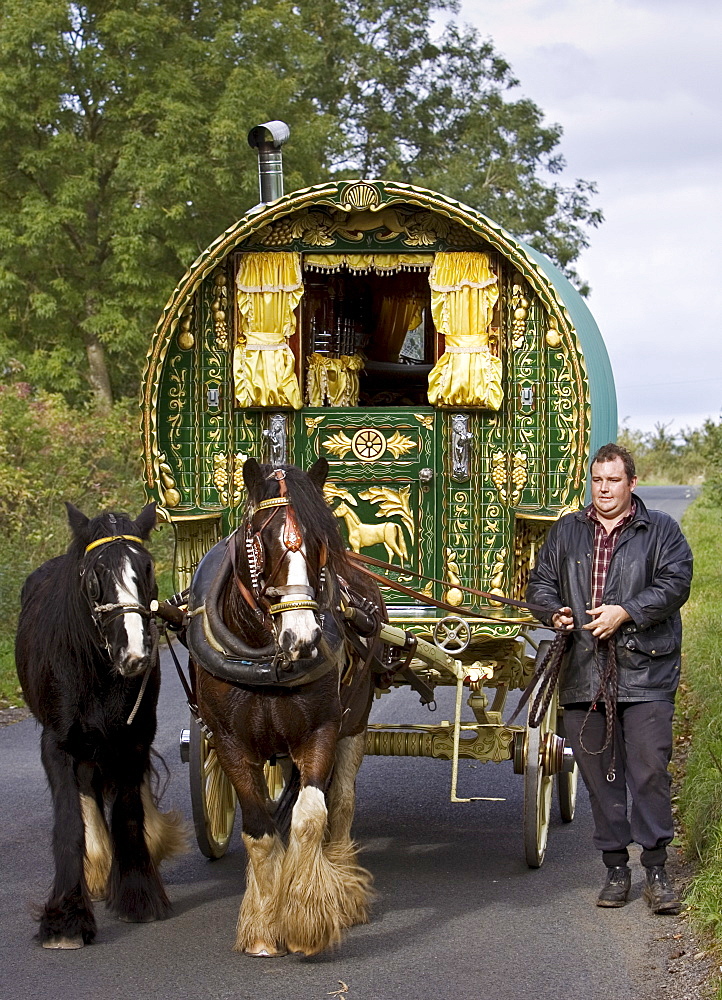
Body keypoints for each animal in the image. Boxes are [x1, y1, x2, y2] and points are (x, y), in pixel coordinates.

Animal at [15, 504, 184, 948]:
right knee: (87, 791)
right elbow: (70, 824)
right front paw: (65, 919)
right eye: (95, 575)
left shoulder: (133, 739)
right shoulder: (57, 745)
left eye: (146, 566)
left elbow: (128, 812)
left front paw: (138, 895)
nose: (136, 654)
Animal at [188, 458, 386, 956]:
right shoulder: (229, 743)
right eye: (260, 540)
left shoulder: (321, 731)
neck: (266, 658)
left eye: (322, 541)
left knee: (342, 800)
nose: (304, 637)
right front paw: (262, 926)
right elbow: (259, 830)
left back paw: (343, 881)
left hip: (355, 721)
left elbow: (310, 817)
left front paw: (306, 917)